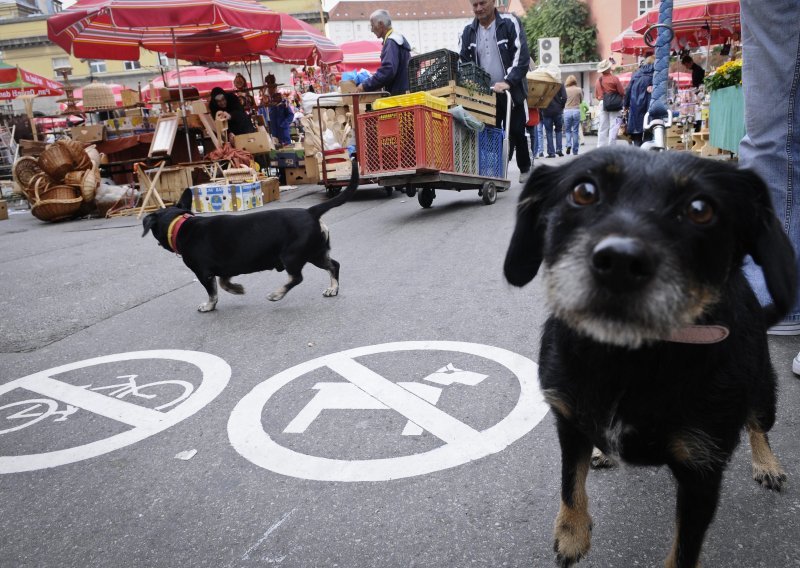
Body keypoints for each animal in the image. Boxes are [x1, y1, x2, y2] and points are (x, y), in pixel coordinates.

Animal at [142, 161, 358, 310]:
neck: (181, 225)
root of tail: (311, 212)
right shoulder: (226, 267)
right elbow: (224, 283)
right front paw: (237, 288)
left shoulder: (203, 273)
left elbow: (213, 292)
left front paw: (209, 306)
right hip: (316, 252)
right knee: (334, 265)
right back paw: (333, 288)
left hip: (292, 255)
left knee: (297, 278)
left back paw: (277, 294)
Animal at [504, 148, 796, 568]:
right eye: (584, 191)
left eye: (700, 209)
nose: (619, 262)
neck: (629, 361)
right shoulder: (569, 421)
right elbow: (570, 482)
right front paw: (571, 534)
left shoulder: (702, 474)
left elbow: (683, 551)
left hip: (763, 390)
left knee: (759, 425)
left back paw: (767, 463)